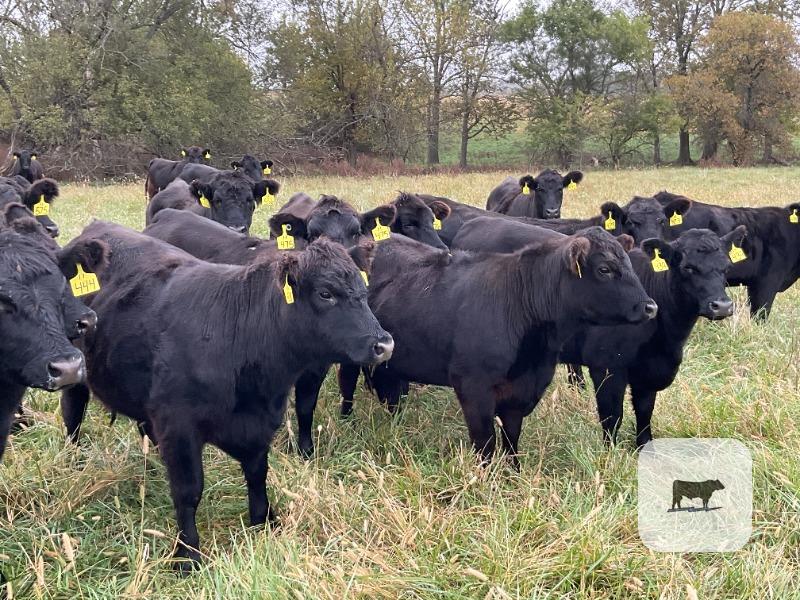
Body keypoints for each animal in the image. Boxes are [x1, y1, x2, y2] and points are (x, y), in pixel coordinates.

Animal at [59, 221, 392, 570]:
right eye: (325, 293)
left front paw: (263, 521)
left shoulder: (260, 421)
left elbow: (258, 473)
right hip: (75, 375)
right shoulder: (179, 427)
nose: (384, 344)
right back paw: (74, 461)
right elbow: (189, 490)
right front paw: (187, 554)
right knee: (73, 414)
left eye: (364, 291)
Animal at [339, 228, 656, 467]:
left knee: (390, 392)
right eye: (604, 269)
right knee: (347, 387)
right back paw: (346, 423)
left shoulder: (522, 389)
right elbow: (485, 441)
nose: (650, 307)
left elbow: (511, 438)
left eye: (629, 265)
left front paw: (513, 473)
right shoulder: (472, 386)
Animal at [559, 227, 746, 447]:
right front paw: (609, 452)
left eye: (727, 267)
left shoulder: (650, 370)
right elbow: (612, 415)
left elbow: (645, 410)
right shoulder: (606, 366)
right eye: (688, 267)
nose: (722, 306)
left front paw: (645, 446)